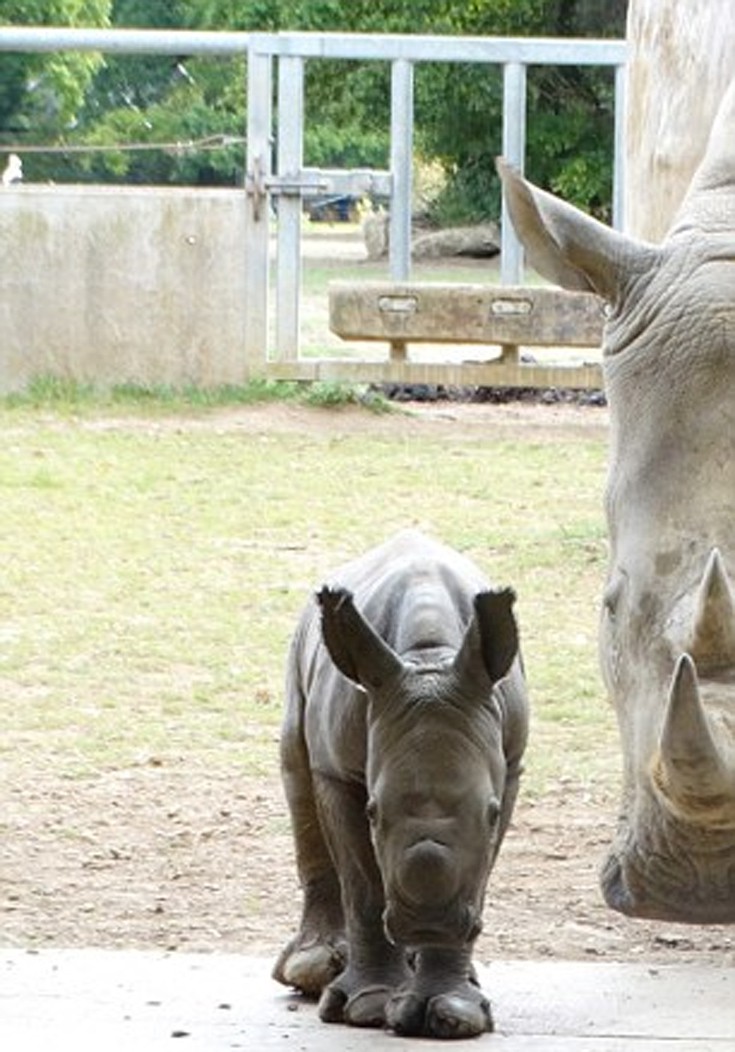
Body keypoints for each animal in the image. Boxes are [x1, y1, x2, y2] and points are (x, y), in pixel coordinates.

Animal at [271, 530, 529, 1039]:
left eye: (491, 813)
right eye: (372, 811)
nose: (429, 923)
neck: (428, 661)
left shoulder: (510, 765)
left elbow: (478, 871)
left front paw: (454, 1014)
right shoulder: (339, 770)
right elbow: (363, 886)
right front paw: (368, 1008)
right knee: (296, 772)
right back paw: (312, 972)